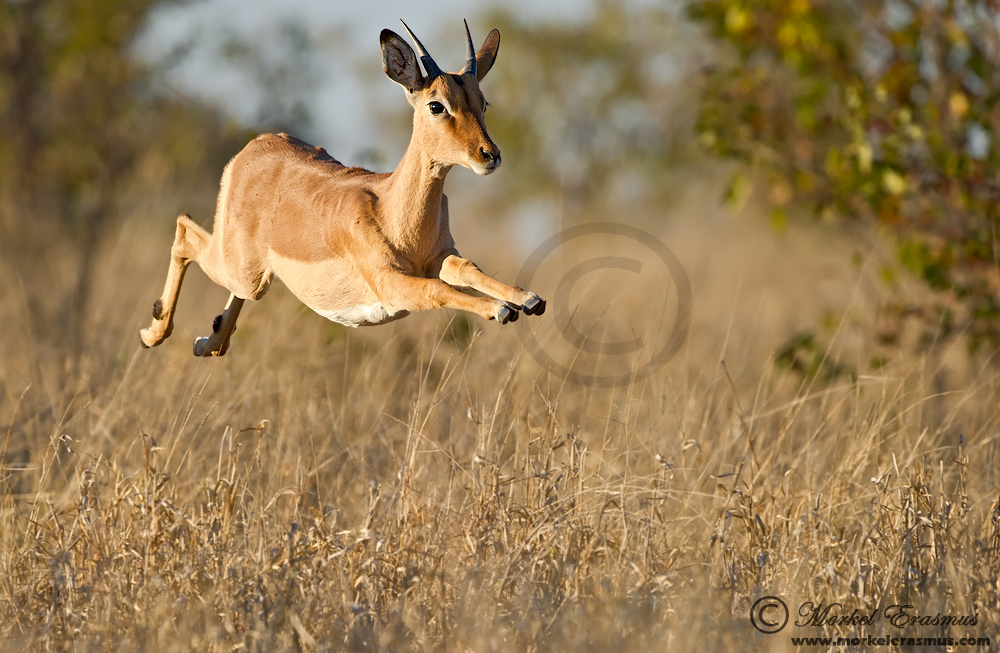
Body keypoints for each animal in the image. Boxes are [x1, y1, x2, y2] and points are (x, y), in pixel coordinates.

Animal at [139, 20, 545, 357]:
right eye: (436, 105)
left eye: (483, 102)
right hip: (243, 269)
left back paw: (206, 340)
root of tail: (256, 146)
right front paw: (501, 309)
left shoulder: (440, 258)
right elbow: (440, 291)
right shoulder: (391, 284)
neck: (393, 208)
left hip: (249, 276)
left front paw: (528, 298)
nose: (489, 155)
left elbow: (468, 269)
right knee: (184, 232)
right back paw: (152, 334)